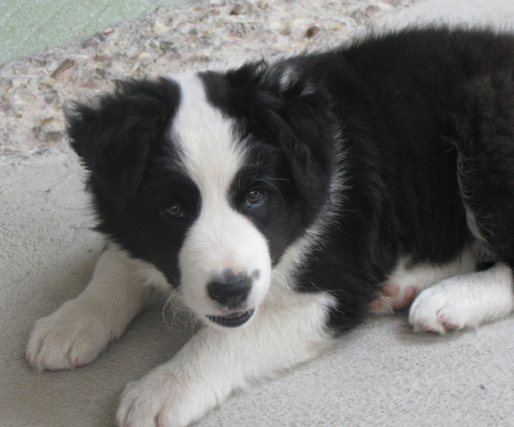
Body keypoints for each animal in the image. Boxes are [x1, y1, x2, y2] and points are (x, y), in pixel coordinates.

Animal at [27, 27, 514, 426]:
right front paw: (72, 322)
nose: (231, 290)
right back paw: (402, 289)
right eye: (173, 210)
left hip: (486, 117)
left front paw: (164, 389)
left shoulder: (335, 287)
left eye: (256, 196)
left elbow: (229, 339)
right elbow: (117, 259)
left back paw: (449, 299)